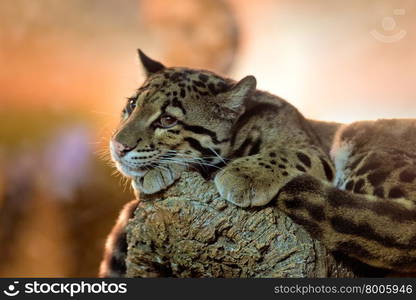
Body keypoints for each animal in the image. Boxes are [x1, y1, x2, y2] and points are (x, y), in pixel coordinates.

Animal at [99, 49, 416, 276]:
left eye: (167, 120)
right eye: (131, 105)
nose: (118, 145)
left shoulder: (314, 151)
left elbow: (287, 154)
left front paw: (244, 175)